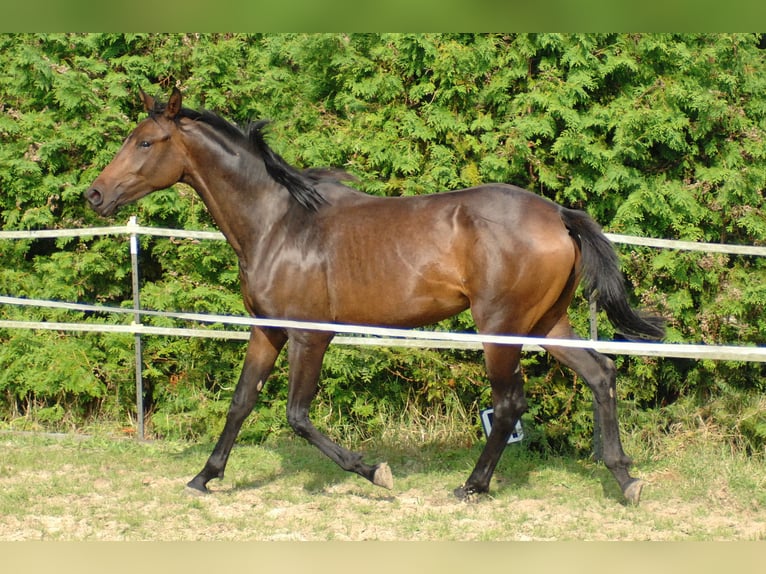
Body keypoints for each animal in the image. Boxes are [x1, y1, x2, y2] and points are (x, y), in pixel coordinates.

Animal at [84, 89, 664, 504]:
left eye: (145, 142)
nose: (94, 194)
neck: (279, 224)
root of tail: (559, 215)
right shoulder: (267, 330)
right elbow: (242, 401)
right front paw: (204, 477)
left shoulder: (310, 335)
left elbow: (297, 414)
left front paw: (374, 472)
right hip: (545, 322)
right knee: (601, 373)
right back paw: (625, 478)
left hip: (500, 327)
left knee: (509, 403)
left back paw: (472, 487)